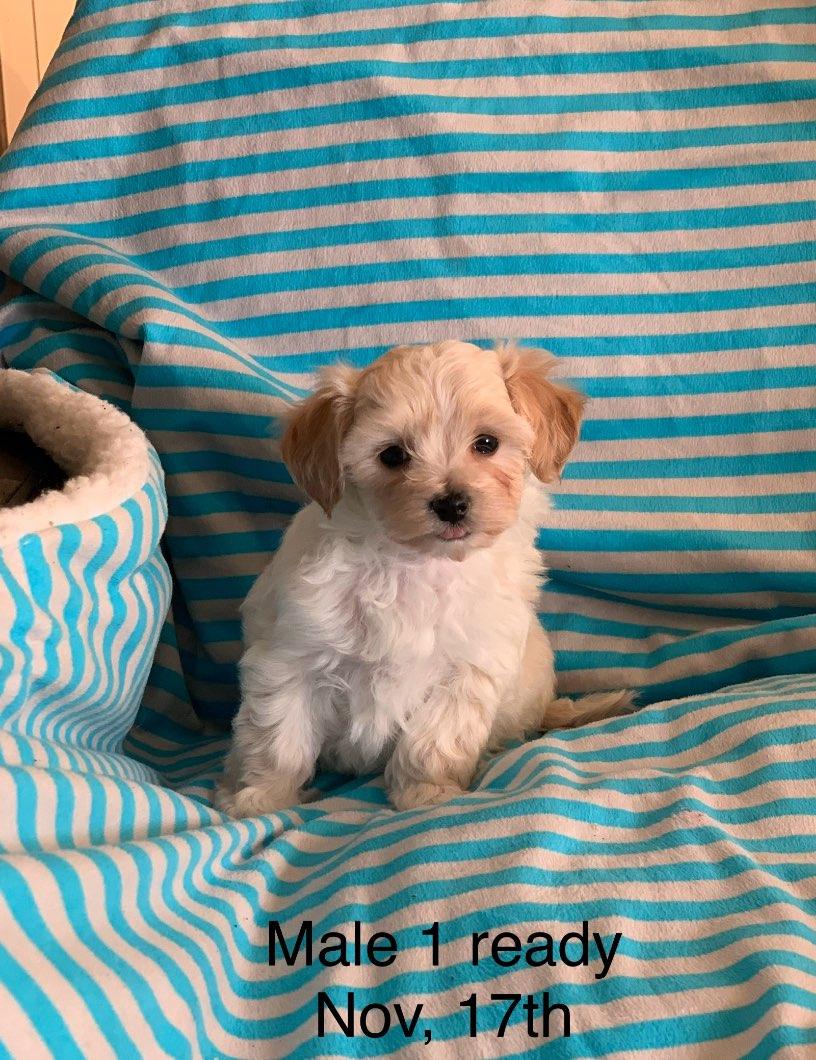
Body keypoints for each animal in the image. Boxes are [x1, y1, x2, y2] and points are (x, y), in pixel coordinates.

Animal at [214, 343, 623, 814]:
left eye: (487, 443)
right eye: (393, 455)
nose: (451, 503)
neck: (414, 562)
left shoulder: (468, 669)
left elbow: (434, 741)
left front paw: (426, 795)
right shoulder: (291, 656)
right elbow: (278, 737)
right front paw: (261, 799)